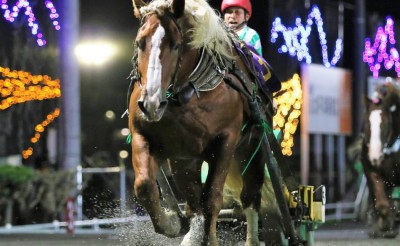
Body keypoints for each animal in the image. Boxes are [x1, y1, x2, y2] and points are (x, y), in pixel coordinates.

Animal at [127, 0, 288, 244]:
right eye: (140, 42)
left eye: (176, 45)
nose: (151, 103)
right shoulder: (144, 136)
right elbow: (145, 186)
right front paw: (172, 223)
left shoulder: (225, 141)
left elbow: (212, 198)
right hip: (185, 160)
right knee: (194, 203)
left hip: (253, 147)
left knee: (250, 196)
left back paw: (251, 239)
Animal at [360, 81, 400, 237]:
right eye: (366, 123)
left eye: (386, 123)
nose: (375, 156)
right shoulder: (372, 170)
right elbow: (382, 204)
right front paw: (384, 226)